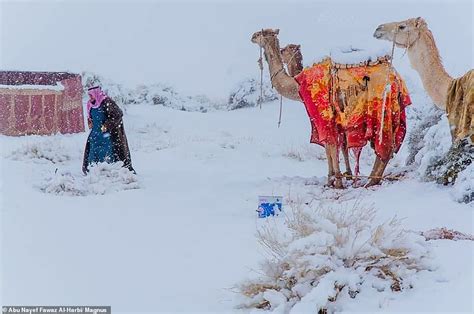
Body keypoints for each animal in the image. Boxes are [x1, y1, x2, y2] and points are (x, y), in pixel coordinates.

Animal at [250, 28, 410, 188]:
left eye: (261, 33)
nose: (252, 36)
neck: (297, 85)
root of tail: (396, 78)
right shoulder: (338, 120)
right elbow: (339, 146)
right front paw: (343, 176)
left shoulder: (323, 114)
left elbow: (330, 146)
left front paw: (335, 181)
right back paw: (371, 180)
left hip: (382, 107)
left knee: (385, 146)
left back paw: (370, 181)